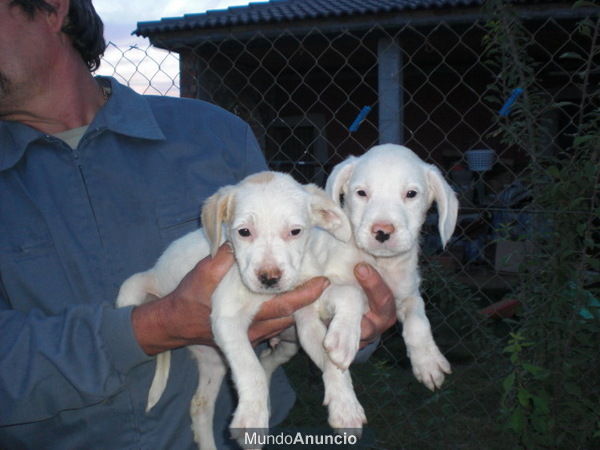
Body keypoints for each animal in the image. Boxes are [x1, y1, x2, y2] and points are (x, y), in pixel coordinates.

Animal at [115, 171, 364, 448]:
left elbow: (333, 349)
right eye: (244, 232)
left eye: (295, 232)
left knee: (200, 405)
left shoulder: (306, 314)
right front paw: (252, 419)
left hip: (215, 363)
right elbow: (250, 369)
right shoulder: (227, 320)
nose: (269, 278)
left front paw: (345, 405)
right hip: (131, 289)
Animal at [312, 143, 458, 390]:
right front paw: (343, 337)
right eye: (361, 193)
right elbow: (351, 293)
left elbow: (418, 319)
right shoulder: (320, 285)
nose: (382, 231)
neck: (380, 263)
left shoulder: (407, 293)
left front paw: (428, 360)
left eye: (411, 194)